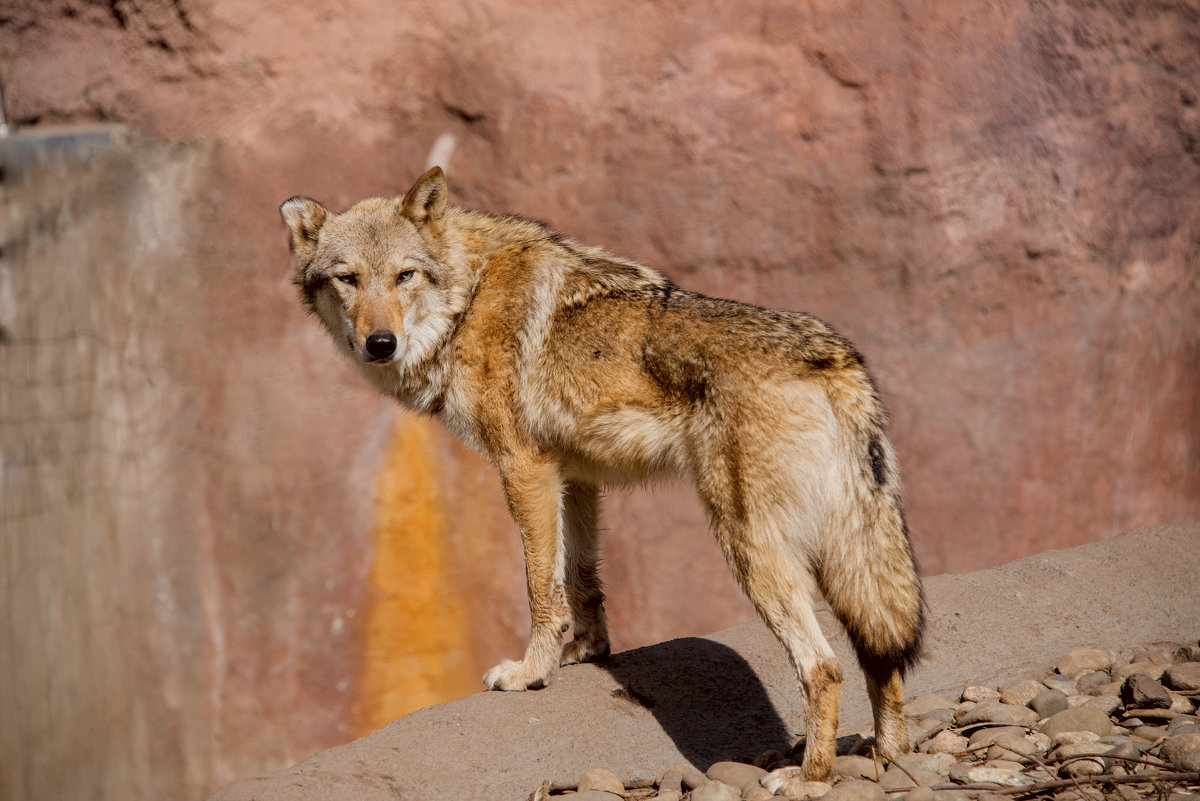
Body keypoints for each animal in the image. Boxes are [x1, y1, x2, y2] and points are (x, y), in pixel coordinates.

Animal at [283, 169, 926, 781]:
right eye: (348, 279)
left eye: (405, 276)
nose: (380, 343)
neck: (467, 297)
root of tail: (836, 359)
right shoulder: (575, 477)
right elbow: (580, 578)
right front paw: (589, 651)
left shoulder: (524, 469)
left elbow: (540, 587)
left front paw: (531, 672)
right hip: (844, 553)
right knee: (878, 652)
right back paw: (886, 753)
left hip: (752, 547)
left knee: (825, 666)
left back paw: (806, 777)